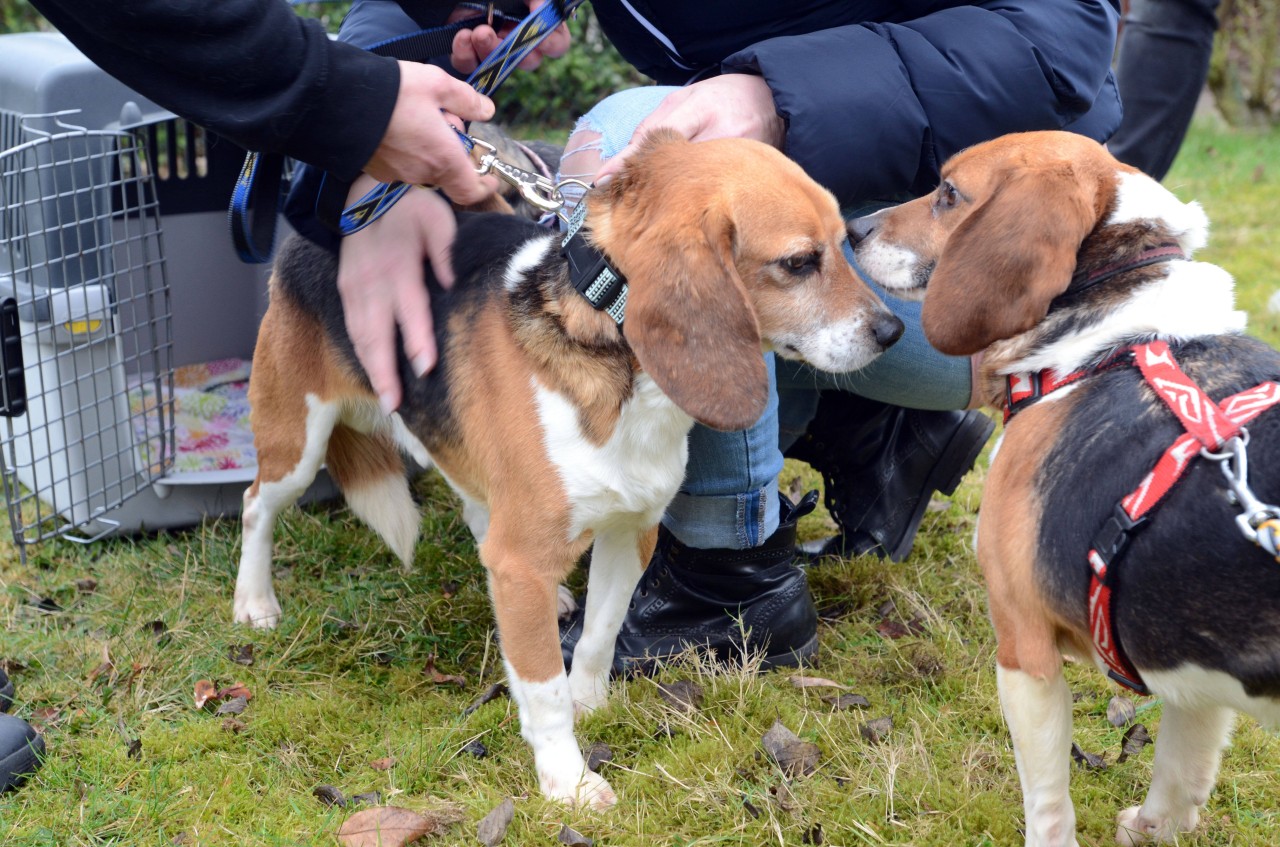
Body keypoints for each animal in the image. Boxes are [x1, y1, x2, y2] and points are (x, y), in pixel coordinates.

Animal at [235, 131, 906, 808]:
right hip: (296, 443)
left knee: (480, 515)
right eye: (798, 262)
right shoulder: (529, 559)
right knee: (255, 504)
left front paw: (592, 703)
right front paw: (568, 778)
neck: (614, 339)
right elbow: (542, 687)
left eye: (845, 240)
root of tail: (319, 231)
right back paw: (255, 602)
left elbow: (599, 634)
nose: (894, 331)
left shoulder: (631, 530)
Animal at [849, 129, 1280, 844]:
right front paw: (1151, 829)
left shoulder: (1023, 645)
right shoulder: (1194, 673)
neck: (1113, 335)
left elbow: (1048, 798)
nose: (852, 229)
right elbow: (1180, 767)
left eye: (948, 193)